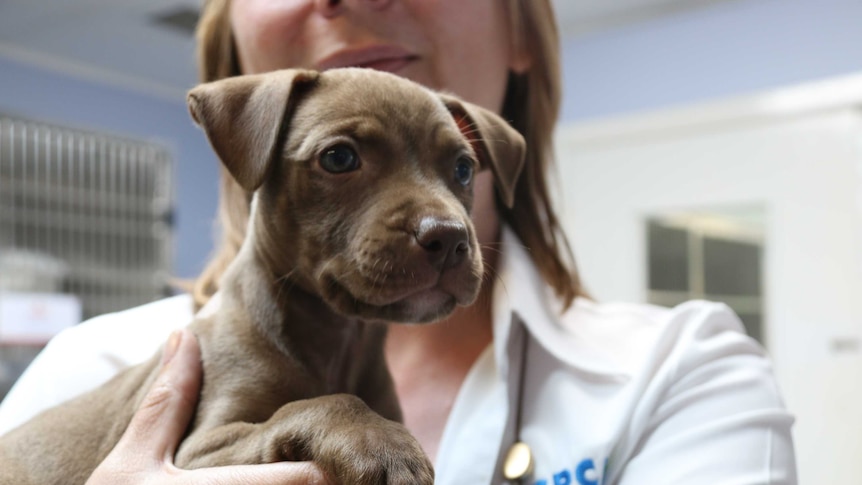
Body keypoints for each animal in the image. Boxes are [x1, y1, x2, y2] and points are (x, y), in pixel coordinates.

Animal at [0, 68, 528, 484]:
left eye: (463, 168)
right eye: (339, 158)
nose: (448, 237)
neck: (338, 338)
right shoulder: (196, 450)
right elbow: (318, 404)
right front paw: (379, 444)